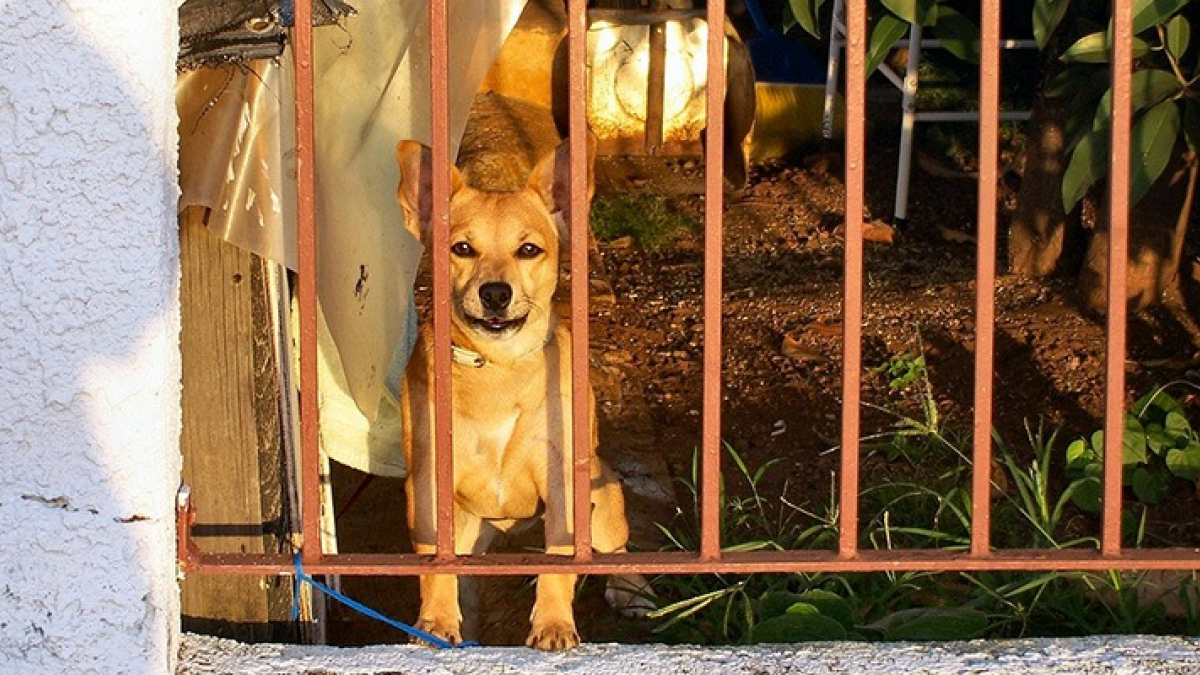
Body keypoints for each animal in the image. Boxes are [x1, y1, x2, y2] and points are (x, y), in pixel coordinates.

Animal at [396, 107, 648, 648]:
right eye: (461, 248)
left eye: (529, 250)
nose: (495, 293)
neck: (497, 367)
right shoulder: (428, 486)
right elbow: (435, 568)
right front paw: (437, 621)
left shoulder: (562, 482)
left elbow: (558, 565)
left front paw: (553, 624)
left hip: (602, 501)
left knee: (616, 548)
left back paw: (632, 590)